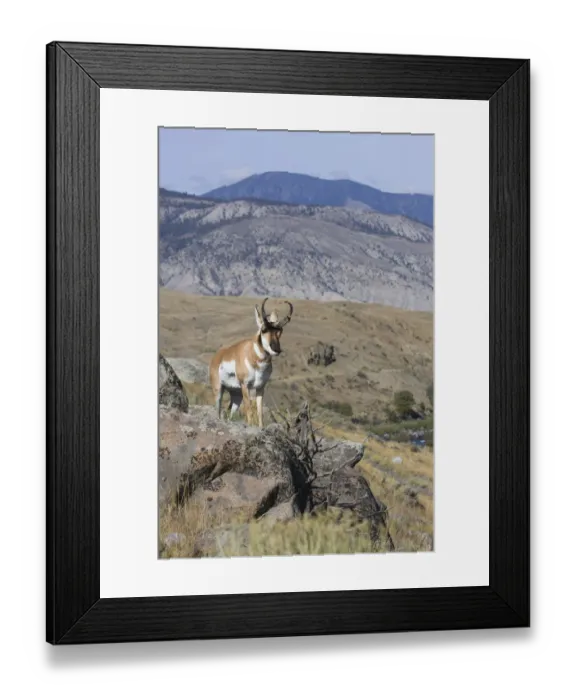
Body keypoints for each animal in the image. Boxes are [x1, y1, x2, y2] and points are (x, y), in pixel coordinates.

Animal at [209, 298, 293, 428]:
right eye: (264, 329)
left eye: (280, 331)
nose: (276, 349)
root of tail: (219, 355)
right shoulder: (245, 386)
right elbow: (249, 410)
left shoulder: (260, 388)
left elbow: (259, 412)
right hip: (219, 390)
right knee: (218, 410)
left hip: (236, 395)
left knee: (230, 413)